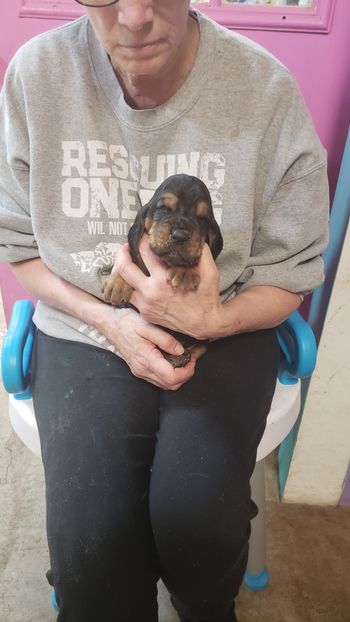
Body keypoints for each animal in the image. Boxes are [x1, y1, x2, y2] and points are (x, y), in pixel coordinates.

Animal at [102, 173, 221, 368]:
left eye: (203, 219)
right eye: (164, 208)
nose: (180, 235)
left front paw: (184, 270)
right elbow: (131, 257)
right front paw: (118, 283)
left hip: (202, 340)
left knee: (199, 348)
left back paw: (180, 357)